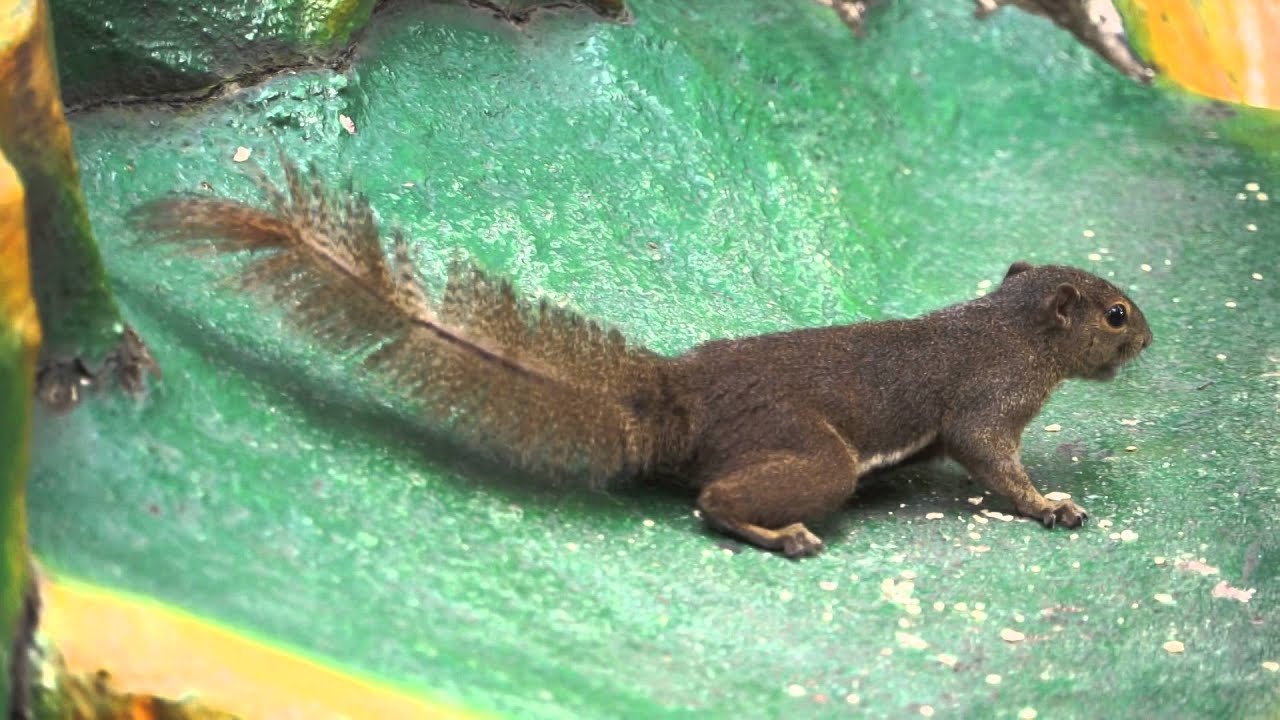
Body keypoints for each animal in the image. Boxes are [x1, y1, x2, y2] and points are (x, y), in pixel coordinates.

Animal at [130, 155, 1153, 558]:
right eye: (1115, 312)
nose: (1148, 339)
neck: (1008, 325)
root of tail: (677, 398)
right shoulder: (988, 404)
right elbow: (994, 464)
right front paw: (1052, 503)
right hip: (812, 456)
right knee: (712, 505)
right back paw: (780, 534)